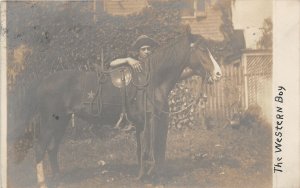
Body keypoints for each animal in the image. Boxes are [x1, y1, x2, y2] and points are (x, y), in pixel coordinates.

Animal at [9, 28, 220, 188]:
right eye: (202, 49)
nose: (218, 73)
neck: (153, 80)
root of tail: (43, 82)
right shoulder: (153, 120)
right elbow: (152, 149)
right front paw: (153, 177)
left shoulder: (143, 124)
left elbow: (144, 150)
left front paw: (142, 176)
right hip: (48, 123)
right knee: (40, 148)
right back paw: (43, 182)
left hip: (62, 122)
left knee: (52, 149)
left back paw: (59, 179)